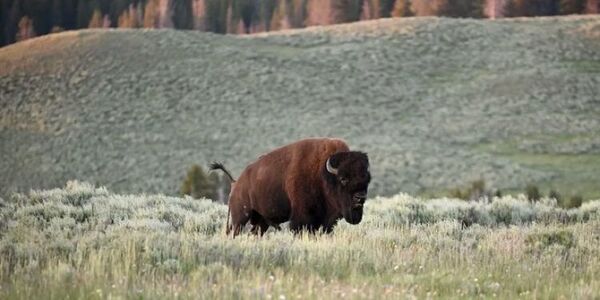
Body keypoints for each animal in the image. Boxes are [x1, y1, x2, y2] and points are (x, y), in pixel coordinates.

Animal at [210, 137, 370, 236]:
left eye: (367, 179)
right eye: (343, 179)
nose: (360, 198)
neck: (322, 173)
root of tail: (236, 182)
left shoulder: (326, 222)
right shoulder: (301, 218)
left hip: (261, 221)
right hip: (240, 217)